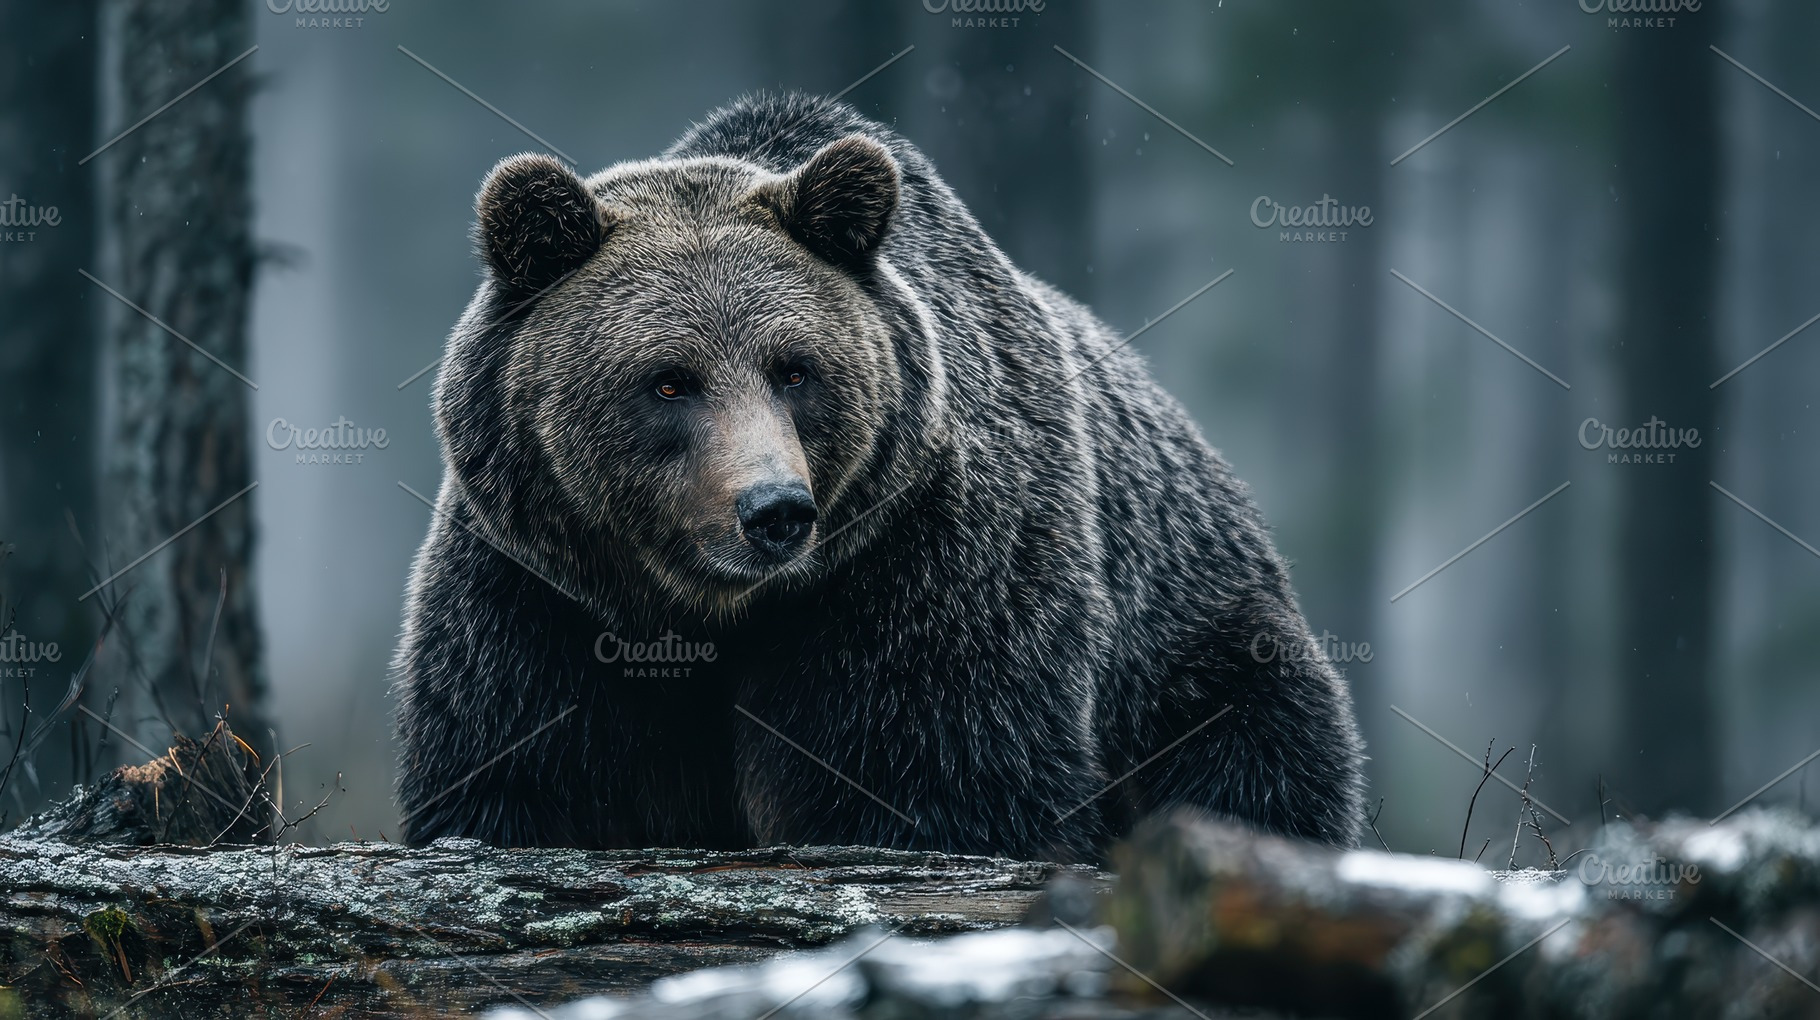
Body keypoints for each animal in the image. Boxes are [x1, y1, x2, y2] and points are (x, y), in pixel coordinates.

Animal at [394, 92, 1366, 861]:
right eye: (668, 381)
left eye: (795, 368)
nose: (774, 511)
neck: (708, 608)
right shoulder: (539, 590)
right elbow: (523, 775)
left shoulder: (925, 560)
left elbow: (935, 777)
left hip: (1193, 644)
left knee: (1256, 761)